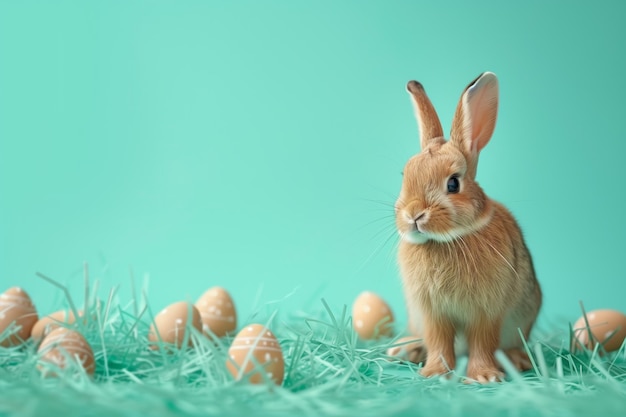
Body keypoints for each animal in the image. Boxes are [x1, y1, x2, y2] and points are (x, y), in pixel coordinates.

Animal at [388, 72, 540, 384]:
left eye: (453, 183)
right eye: (404, 175)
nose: (414, 214)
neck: (444, 240)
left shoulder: (486, 312)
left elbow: (482, 342)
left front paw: (484, 377)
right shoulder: (432, 313)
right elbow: (438, 342)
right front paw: (434, 373)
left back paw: (516, 360)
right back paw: (405, 351)